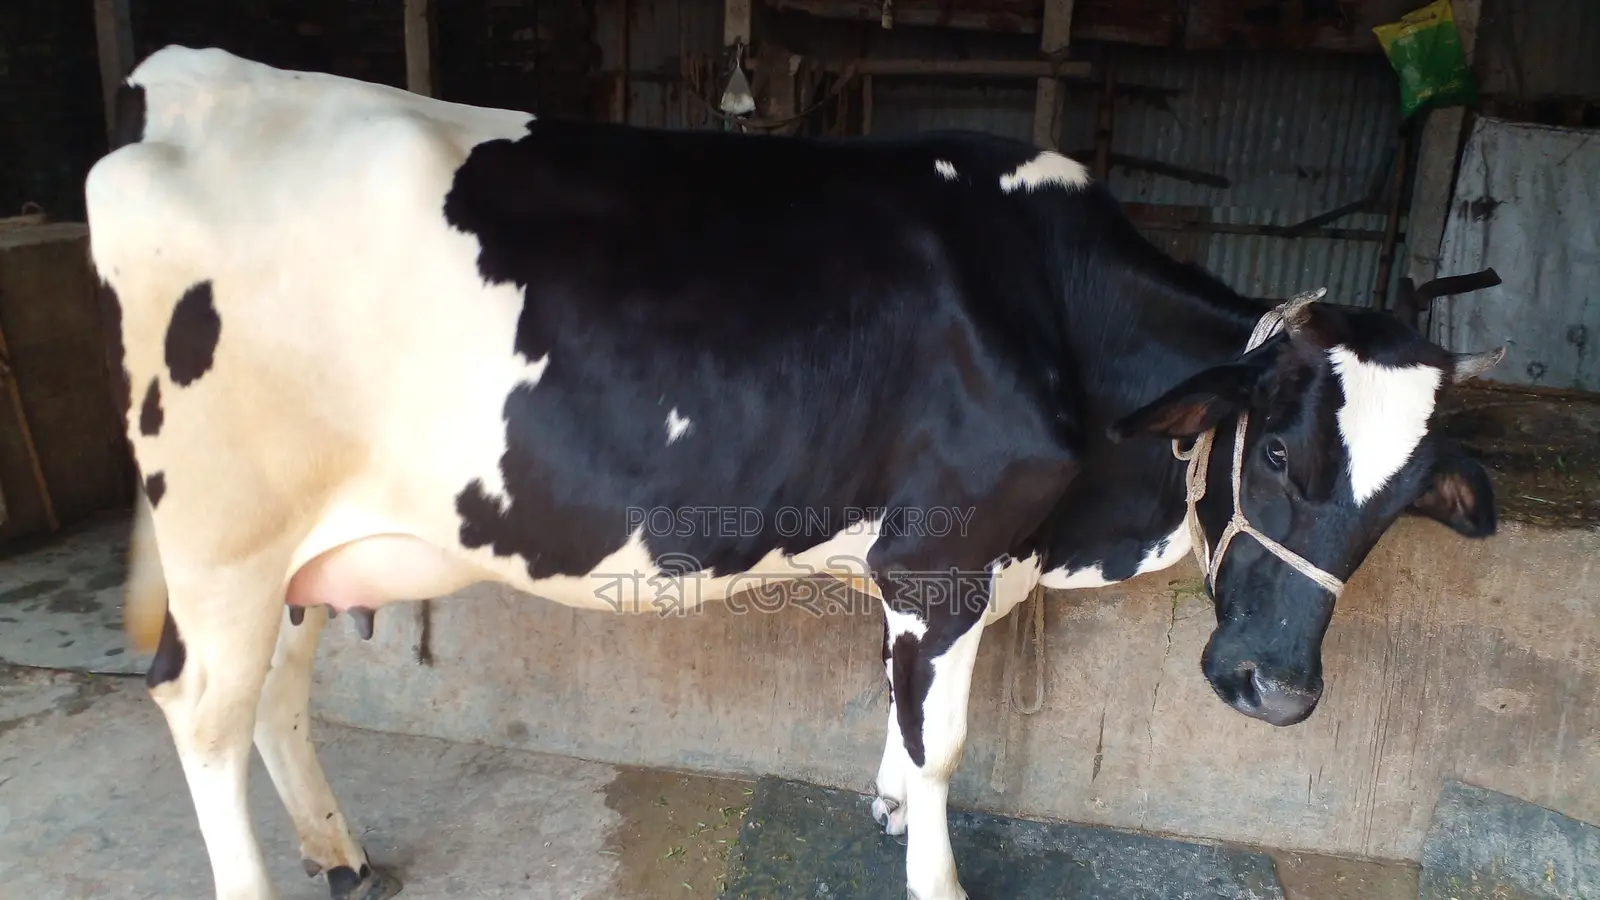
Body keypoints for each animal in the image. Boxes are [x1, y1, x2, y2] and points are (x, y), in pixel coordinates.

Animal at [88, 45, 1503, 900]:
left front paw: (882, 805)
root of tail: (197, 88)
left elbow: (900, 716)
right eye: (1279, 447)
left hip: (309, 547)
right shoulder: (939, 553)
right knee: (201, 711)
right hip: (224, 538)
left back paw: (340, 855)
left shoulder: (942, 567)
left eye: (1400, 508)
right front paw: (934, 870)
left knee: (282, 693)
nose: (1275, 692)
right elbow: (944, 744)